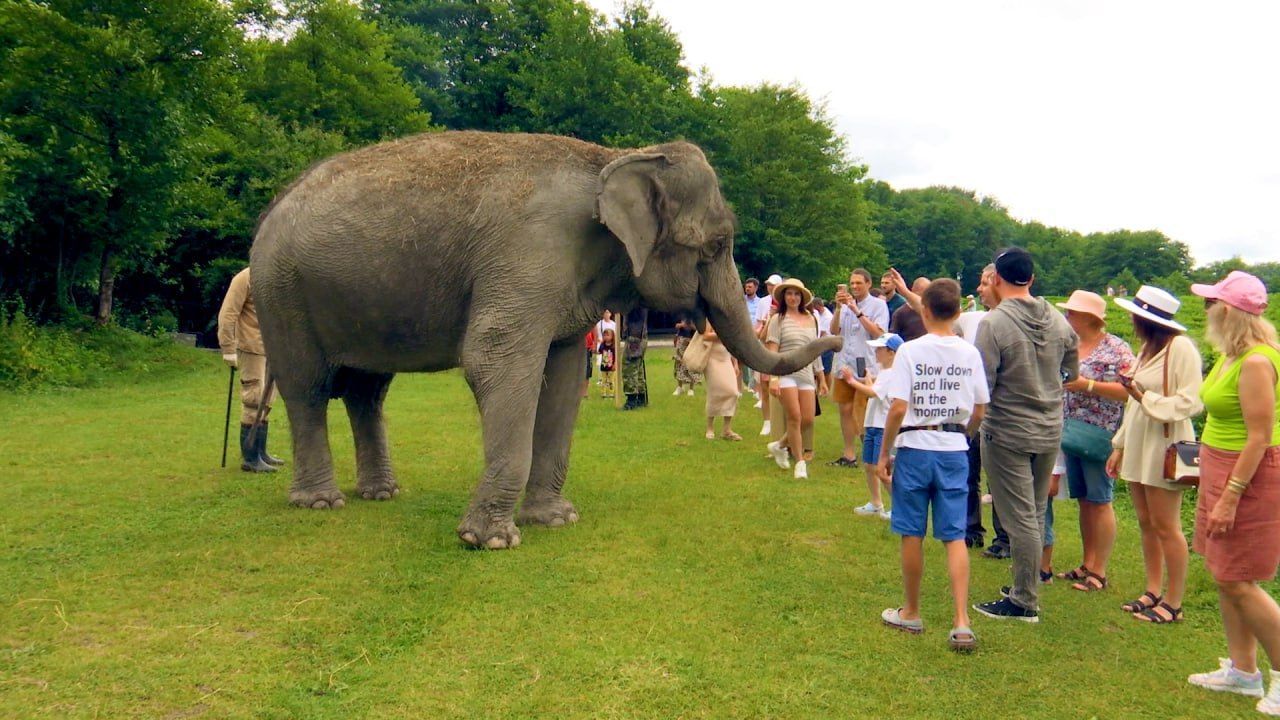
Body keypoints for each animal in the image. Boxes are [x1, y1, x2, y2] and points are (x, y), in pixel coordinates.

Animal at [252, 128, 839, 545]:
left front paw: (554, 520)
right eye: (716, 245)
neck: (612, 157)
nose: (830, 339)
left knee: (367, 391)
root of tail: (274, 204)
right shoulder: (527, 256)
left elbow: (561, 376)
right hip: (281, 292)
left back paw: (381, 494)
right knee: (307, 389)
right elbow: (494, 361)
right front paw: (489, 540)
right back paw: (321, 502)